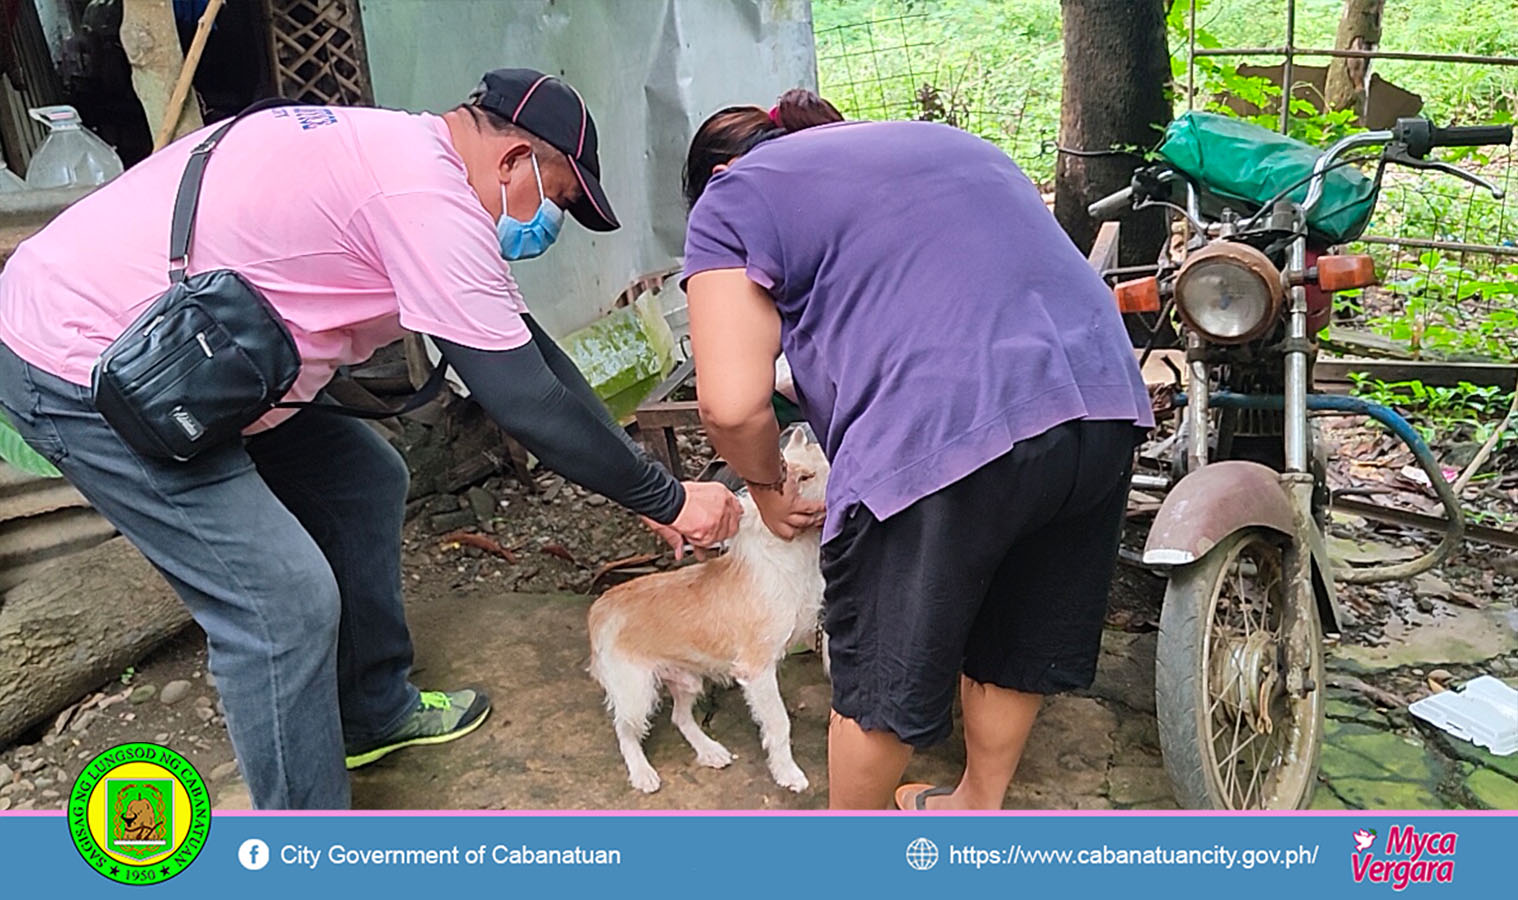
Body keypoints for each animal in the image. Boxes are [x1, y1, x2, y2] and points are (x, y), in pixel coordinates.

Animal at [582, 427, 825, 795]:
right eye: (812, 475)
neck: (788, 556)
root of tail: (600, 606)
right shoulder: (757, 670)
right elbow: (779, 723)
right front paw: (787, 772)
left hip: (687, 680)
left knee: (679, 717)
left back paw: (709, 750)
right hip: (636, 691)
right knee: (625, 730)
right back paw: (642, 771)